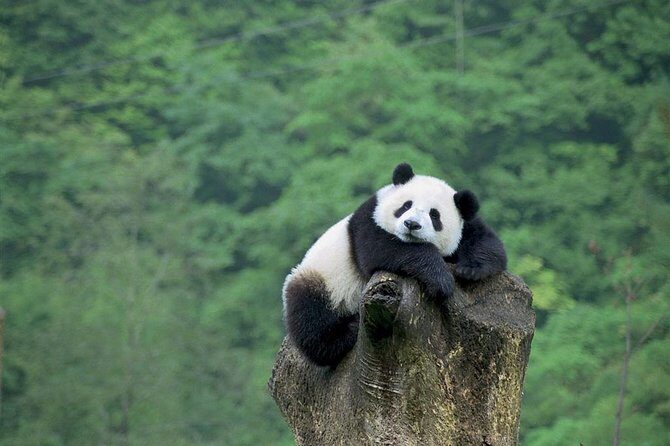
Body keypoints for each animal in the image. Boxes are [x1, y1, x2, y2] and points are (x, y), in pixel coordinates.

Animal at [282, 163, 506, 367]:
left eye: (435, 215)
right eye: (406, 205)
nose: (412, 224)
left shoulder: (467, 226)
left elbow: (484, 240)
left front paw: (471, 269)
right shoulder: (368, 218)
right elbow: (382, 249)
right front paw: (440, 280)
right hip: (321, 280)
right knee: (312, 319)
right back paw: (349, 329)